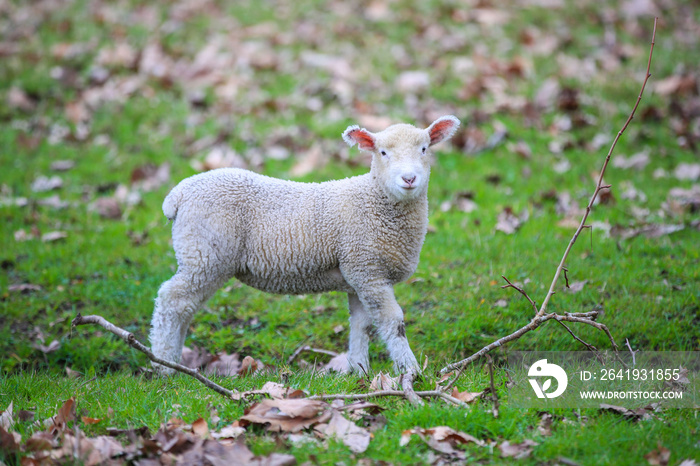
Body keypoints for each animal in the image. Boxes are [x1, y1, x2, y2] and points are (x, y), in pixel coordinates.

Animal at [148, 115, 462, 374]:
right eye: (382, 153)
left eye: (424, 149)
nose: (409, 178)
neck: (374, 200)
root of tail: (178, 194)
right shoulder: (368, 269)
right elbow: (392, 323)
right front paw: (411, 371)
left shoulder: (358, 274)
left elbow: (360, 325)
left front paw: (359, 371)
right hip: (205, 254)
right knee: (171, 301)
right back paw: (164, 366)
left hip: (204, 258)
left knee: (186, 307)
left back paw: (174, 362)